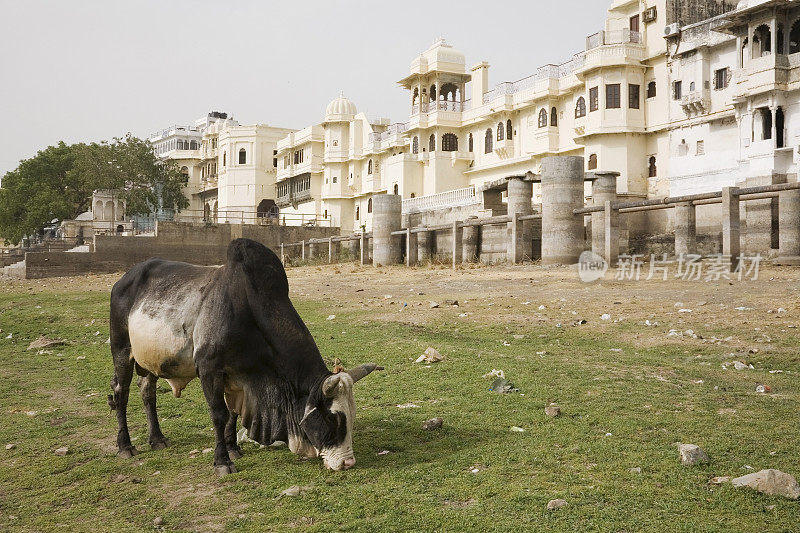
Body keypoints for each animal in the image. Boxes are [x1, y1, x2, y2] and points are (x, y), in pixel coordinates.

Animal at [108, 237, 382, 474]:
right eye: (332, 418)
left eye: (352, 416)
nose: (348, 463)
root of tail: (124, 279)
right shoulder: (209, 369)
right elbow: (219, 414)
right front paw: (222, 461)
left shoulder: (239, 376)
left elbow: (233, 413)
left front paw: (233, 449)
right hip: (122, 351)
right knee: (121, 394)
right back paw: (125, 446)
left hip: (148, 364)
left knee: (148, 394)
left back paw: (157, 439)